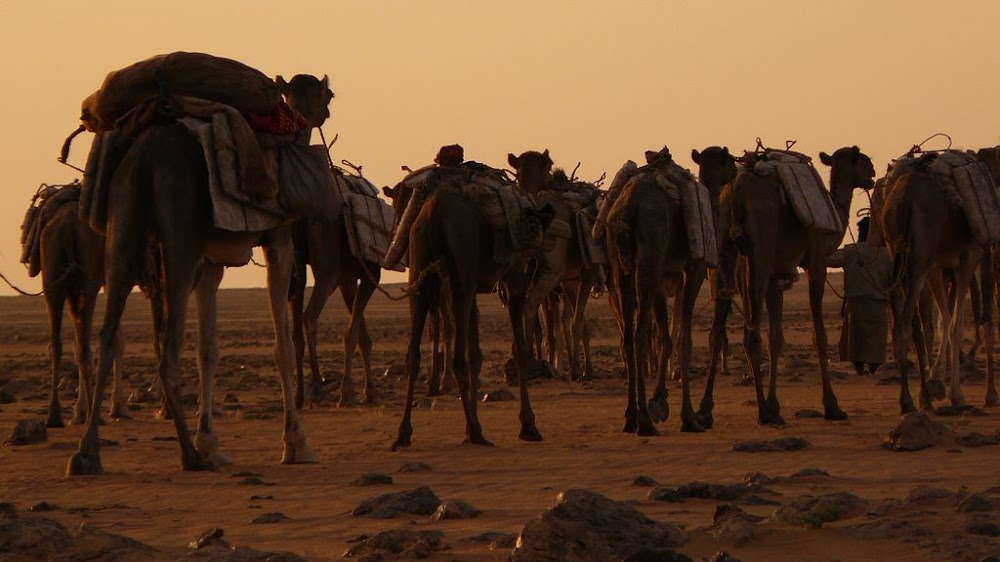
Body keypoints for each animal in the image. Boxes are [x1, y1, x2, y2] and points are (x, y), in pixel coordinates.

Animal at [66, 71, 332, 472]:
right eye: (326, 94)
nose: (325, 111)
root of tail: (145, 154)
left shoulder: (211, 264)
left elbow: (208, 349)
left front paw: (209, 442)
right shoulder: (278, 243)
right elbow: (281, 345)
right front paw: (296, 444)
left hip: (122, 224)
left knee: (109, 333)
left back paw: (86, 452)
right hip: (181, 235)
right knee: (168, 346)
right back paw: (188, 457)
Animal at [704, 144, 876, 424]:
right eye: (862, 160)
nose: (872, 173)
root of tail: (736, 189)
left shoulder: (777, 276)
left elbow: (776, 337)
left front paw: (775, 405)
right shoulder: (816, 262)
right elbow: (819, 335)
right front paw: (832, 406)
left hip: (723, 251)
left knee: (718, 329)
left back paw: (705, 410)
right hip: (759, 251)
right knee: (750, 334)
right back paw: (763, 413)